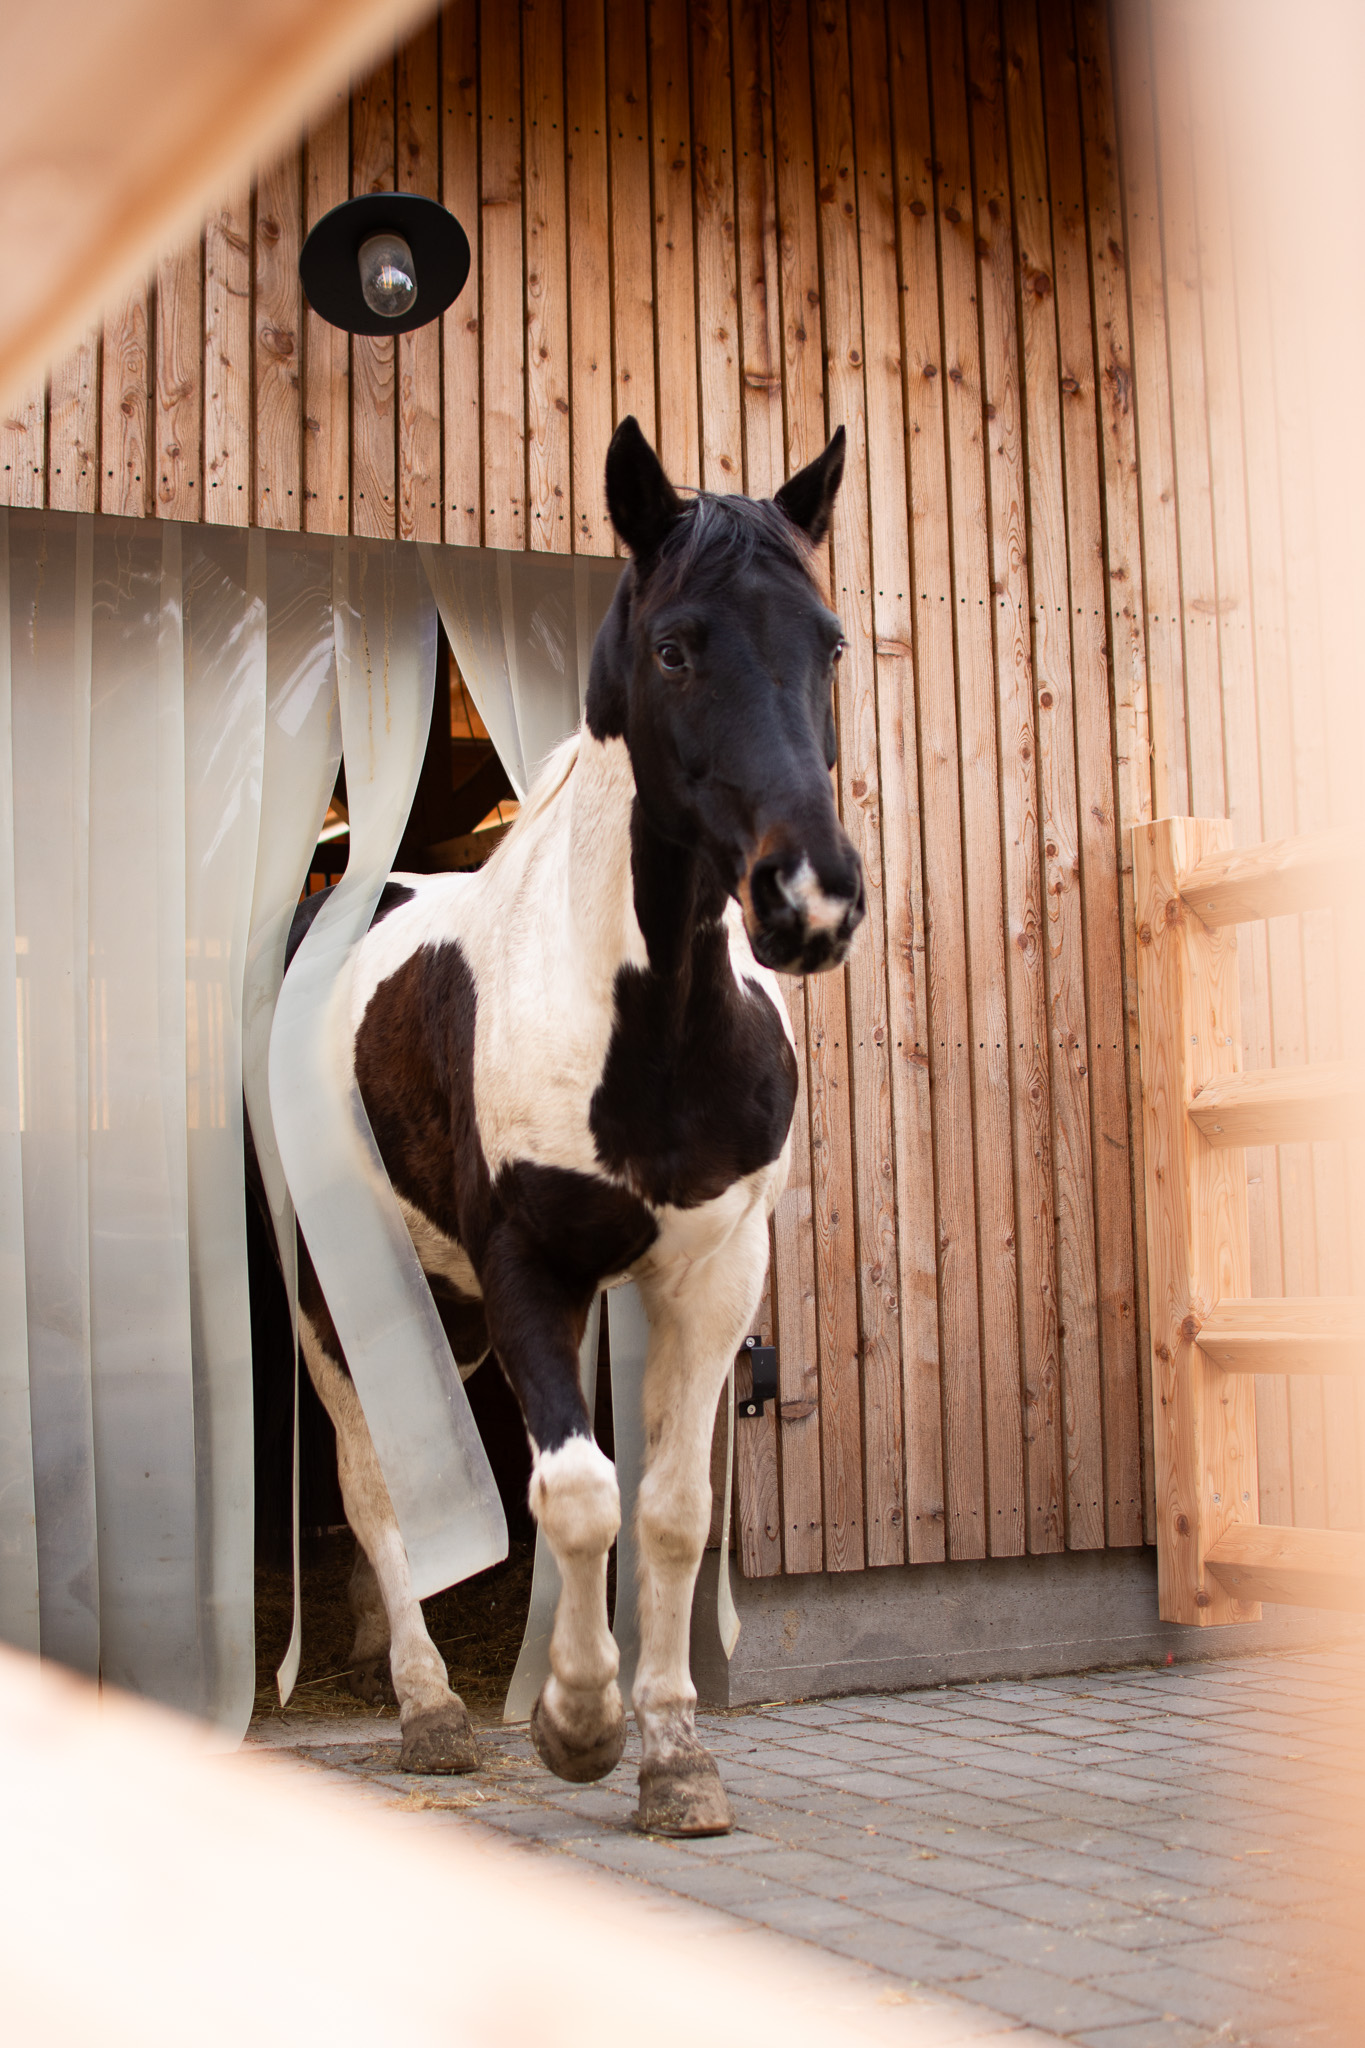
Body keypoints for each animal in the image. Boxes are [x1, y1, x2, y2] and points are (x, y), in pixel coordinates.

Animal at [292, 423, 863, 1835]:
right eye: (674, 647)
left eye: (829, 643)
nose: (811, 898)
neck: (647, 1023)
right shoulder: (527, 1270)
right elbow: (577, 1489)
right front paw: (576, 1721)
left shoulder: (712, 1272)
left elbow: (667, 1508)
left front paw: (674, 1753)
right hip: (334, 1299)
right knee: (372, 1482)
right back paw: (432, 1708)